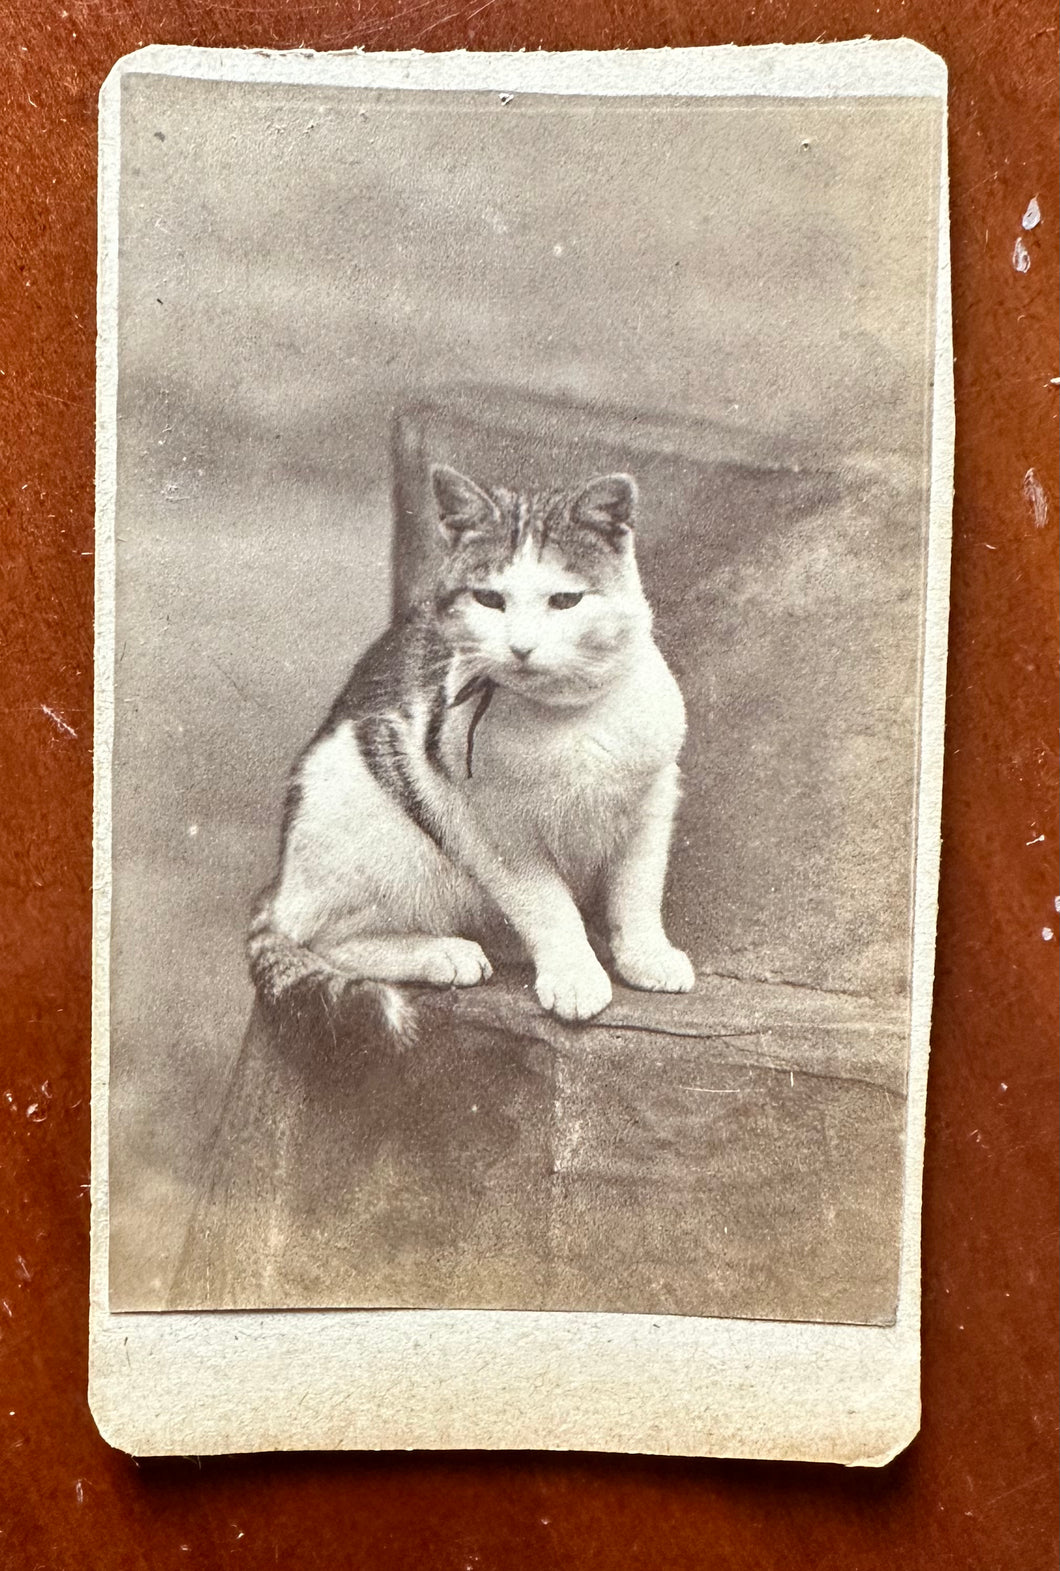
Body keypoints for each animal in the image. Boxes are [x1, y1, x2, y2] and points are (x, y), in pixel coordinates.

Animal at [248, 465, 697, 1030]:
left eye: (565, 601)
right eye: (489, 599)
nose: (521, 647)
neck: (565, 715)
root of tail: (278, 886)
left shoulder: (652, 803)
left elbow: (638, 892)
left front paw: (646, 956)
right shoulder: (496, 831)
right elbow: (547, 906)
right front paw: (574, 975)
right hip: (374, 826)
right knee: (319, 938)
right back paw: (444, 952)